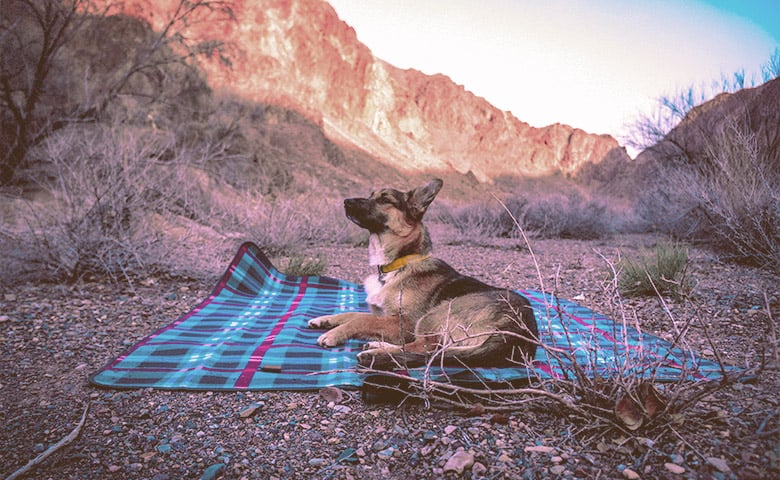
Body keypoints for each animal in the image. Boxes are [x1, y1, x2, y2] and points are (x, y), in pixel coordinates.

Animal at [308, 178, 540, 370]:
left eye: (384, 199)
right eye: (370, 194)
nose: (346, 202)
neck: (397, 265)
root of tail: (523, 331)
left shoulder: (407, 322)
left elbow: (362, 320)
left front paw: (334, 333)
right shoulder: (385, 315)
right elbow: (354, 314)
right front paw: (326, 320)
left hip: (437, 313)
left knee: (428, 348)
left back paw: (375, 352)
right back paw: (376, 345)